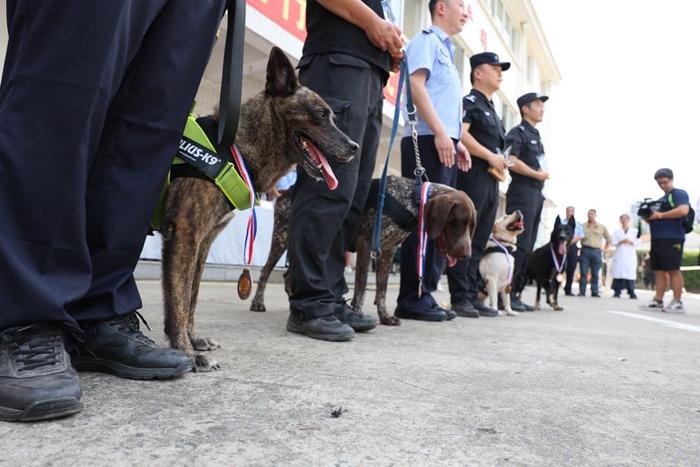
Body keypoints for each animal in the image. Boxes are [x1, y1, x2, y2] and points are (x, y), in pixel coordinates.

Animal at [162, 45, 358, 372]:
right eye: (321, 115)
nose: (355, 146)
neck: (231, 148)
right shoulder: (186, 237)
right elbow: (179, 297)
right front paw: (187, 353)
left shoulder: (204, 242)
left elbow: (192, 295)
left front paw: (194, 340)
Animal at [250, 176, 476, 326]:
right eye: (457, 222)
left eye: (471, 226)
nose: (467, 256)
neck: (411, 200)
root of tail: (286, 191)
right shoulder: (367, 247)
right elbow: (361, 288)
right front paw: (357, 314)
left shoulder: (387, 253)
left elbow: (382, 291)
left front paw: (385, 316)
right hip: (281, 238)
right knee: (265, 273)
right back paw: (258, 303)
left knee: (289, 275)